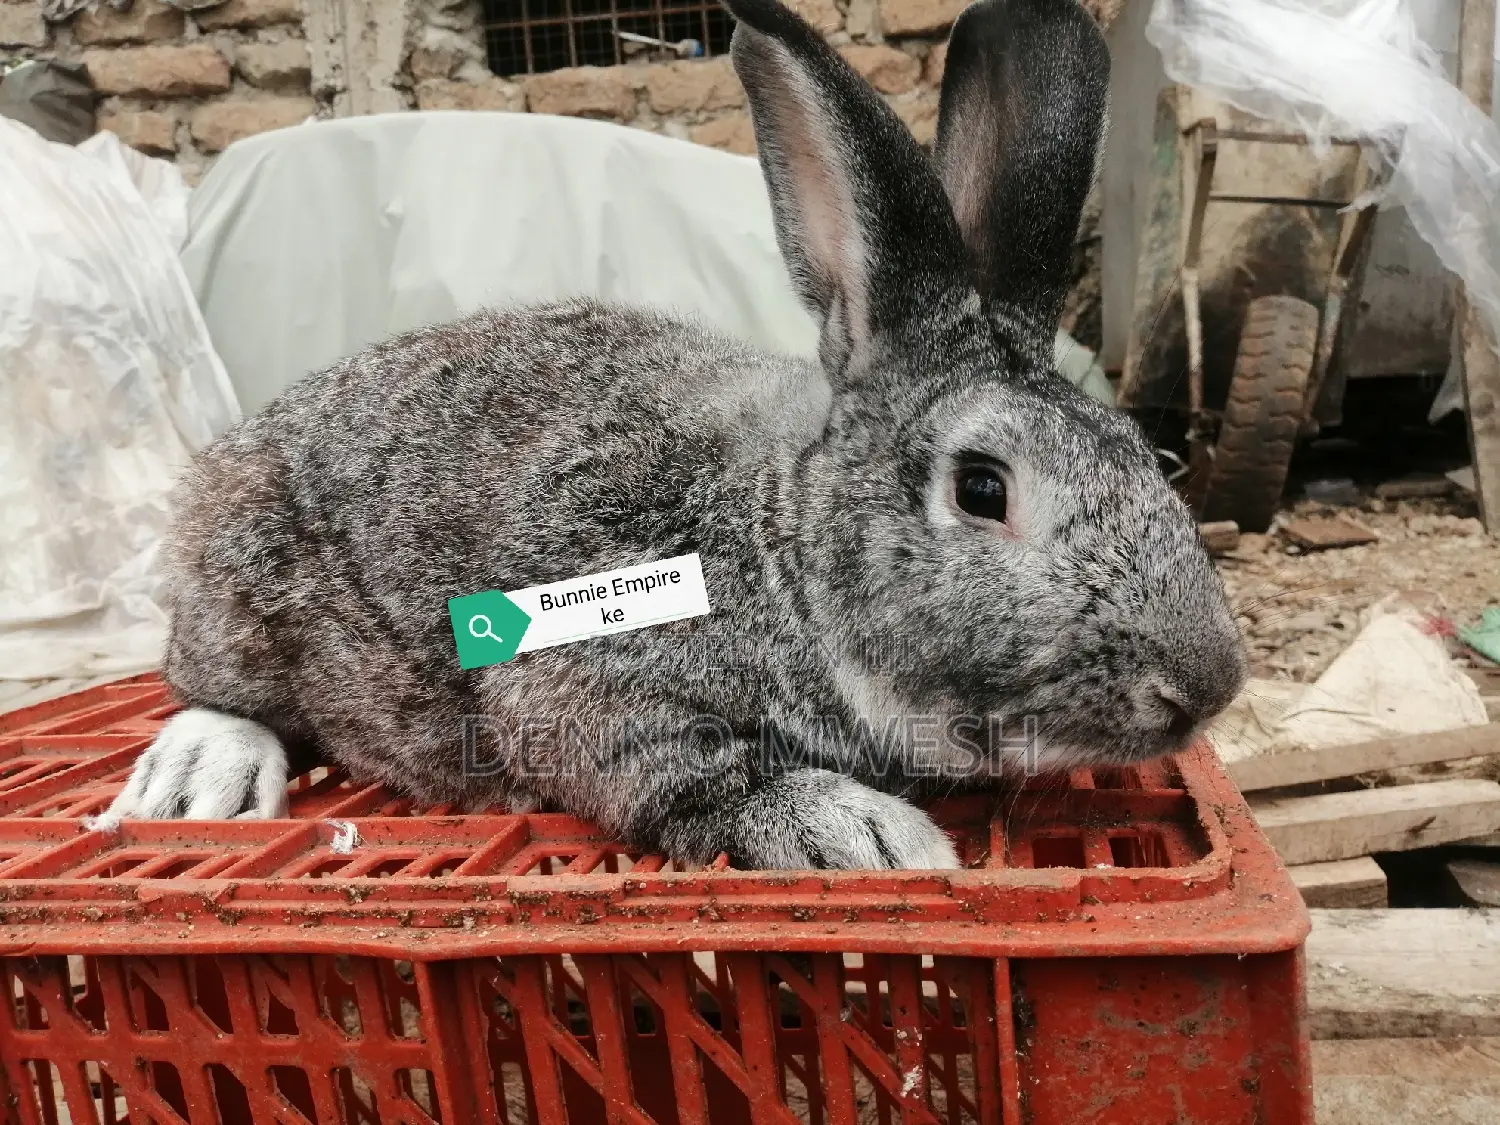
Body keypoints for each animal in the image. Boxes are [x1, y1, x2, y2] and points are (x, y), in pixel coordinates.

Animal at [91, 0, 1247, 870]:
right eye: (982, 489)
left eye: (1147, 456)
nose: (1204, 688)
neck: (781, 550)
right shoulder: (588, 673)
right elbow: (687, 774)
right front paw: (870, 834)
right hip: (240, 600)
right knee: (210, 690)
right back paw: (200, 779)